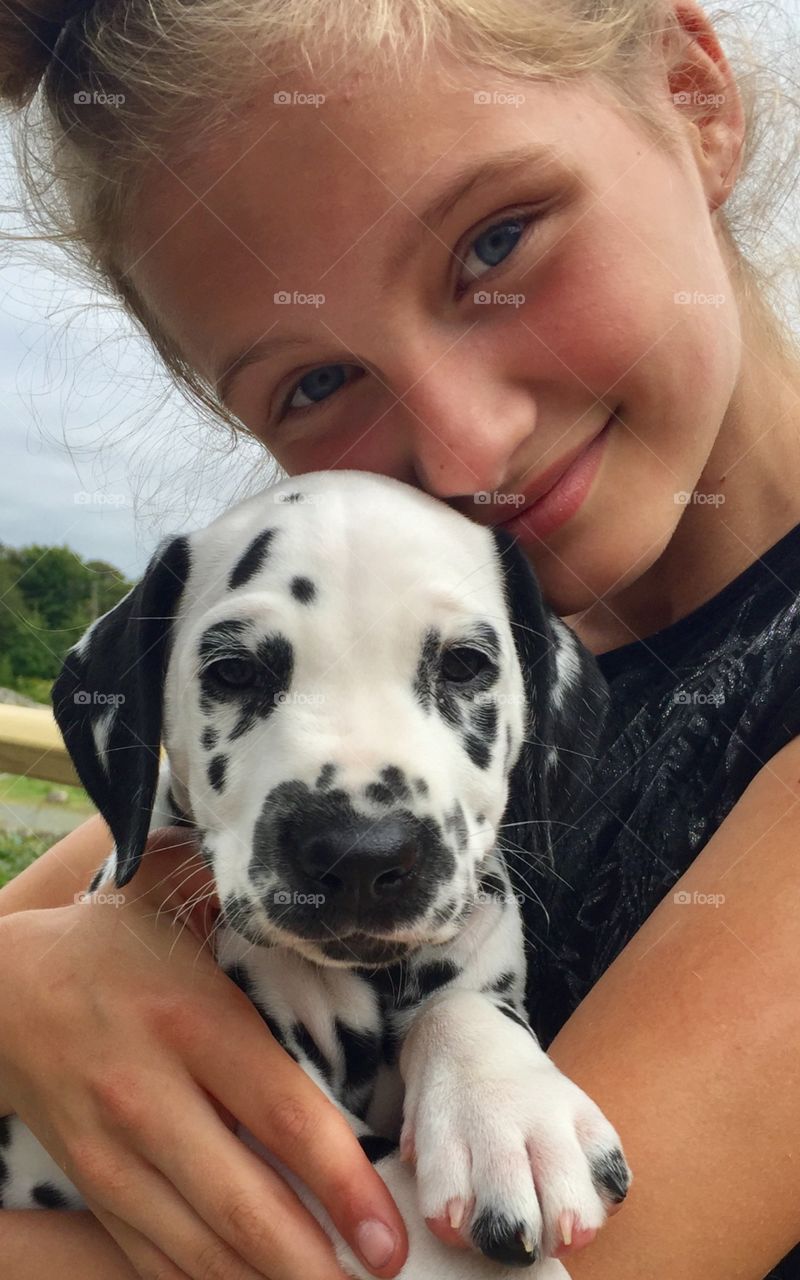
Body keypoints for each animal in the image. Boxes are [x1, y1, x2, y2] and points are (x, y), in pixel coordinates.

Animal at [0, 473, 629, 1280]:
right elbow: (384, 1194)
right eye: (234, 671)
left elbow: (465, 1005)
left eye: (464, 664)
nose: (361, 851)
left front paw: (510, 1116)